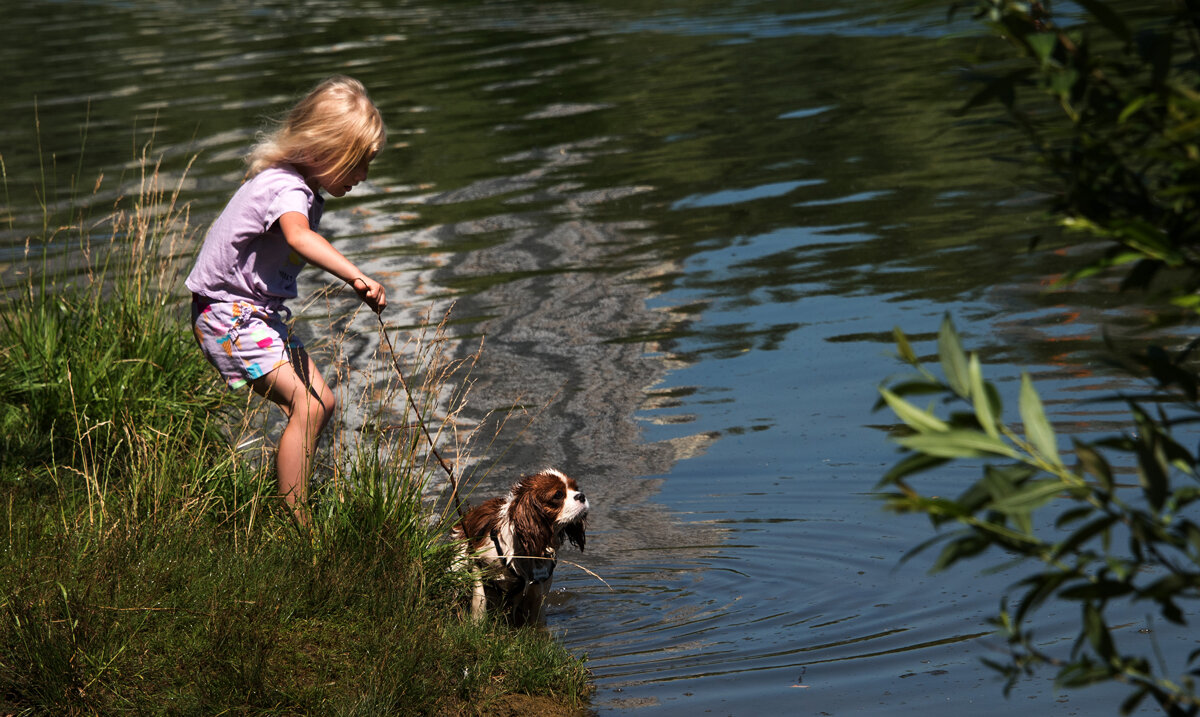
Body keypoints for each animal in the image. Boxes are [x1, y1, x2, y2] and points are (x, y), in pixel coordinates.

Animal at [451, 470, 588, 628]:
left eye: (575, 488)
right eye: (558, 494)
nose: (581, 496)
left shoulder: (538, 588)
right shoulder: (478, 563)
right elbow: (479, 600)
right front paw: (476, 624)